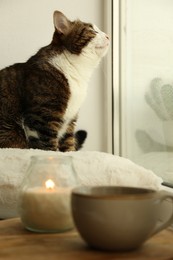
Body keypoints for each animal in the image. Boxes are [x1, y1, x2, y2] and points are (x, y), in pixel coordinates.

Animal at [0, 10, 109, 150]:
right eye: (92, 31)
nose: (108, 36)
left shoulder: (70, 119)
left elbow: (68, 142)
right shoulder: (43, 116)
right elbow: (48, 145)